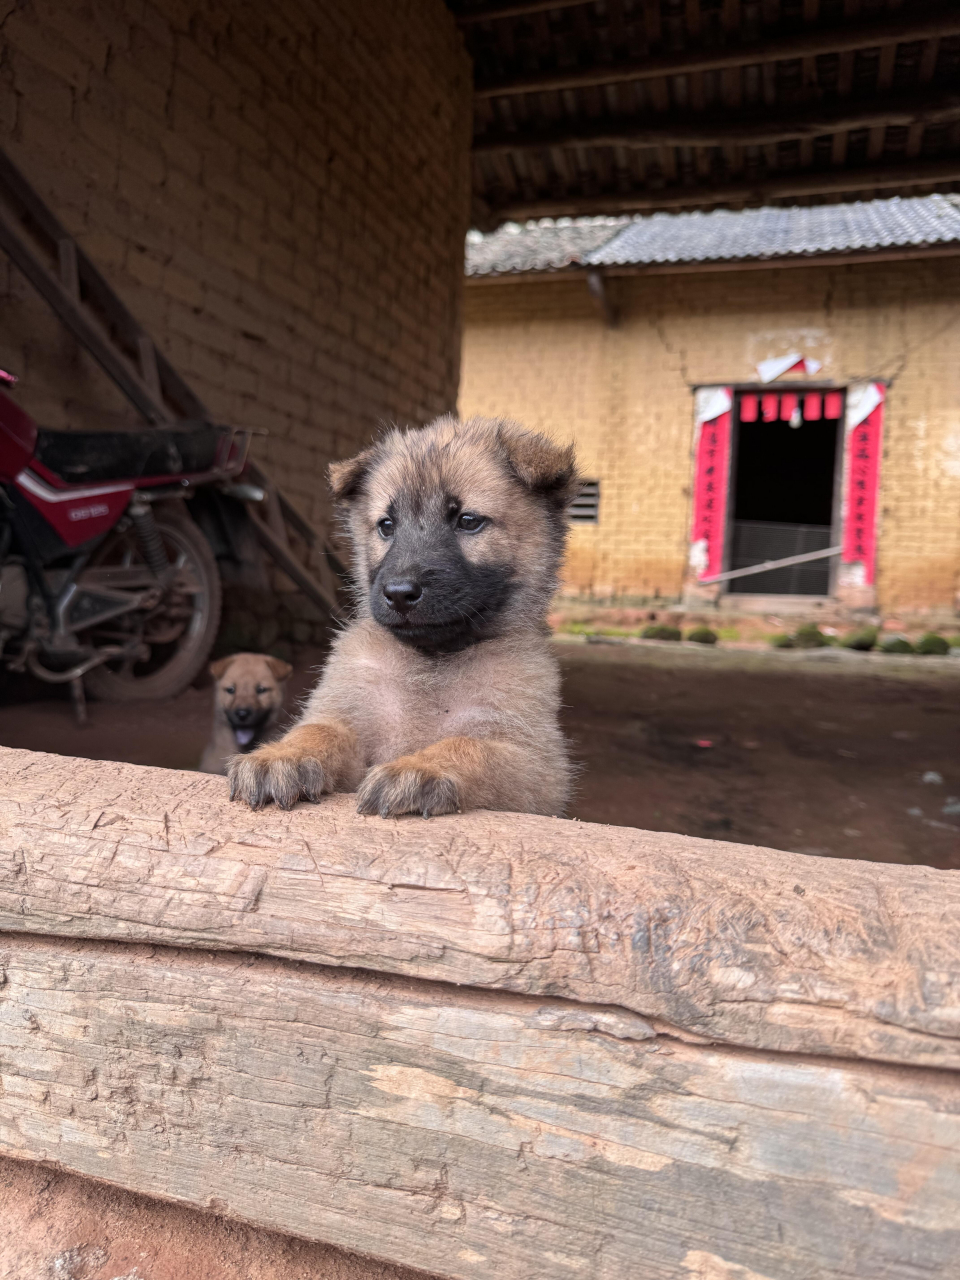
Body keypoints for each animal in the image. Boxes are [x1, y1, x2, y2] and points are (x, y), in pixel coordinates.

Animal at [229, 419, 583, 819]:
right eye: (386, 525)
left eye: (468, 521)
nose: (399, 593)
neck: (432, 661)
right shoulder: (350, 716)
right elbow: (320, 731)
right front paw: (281, 754)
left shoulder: (536, 765)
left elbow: (468, 745)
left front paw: (418, 768)